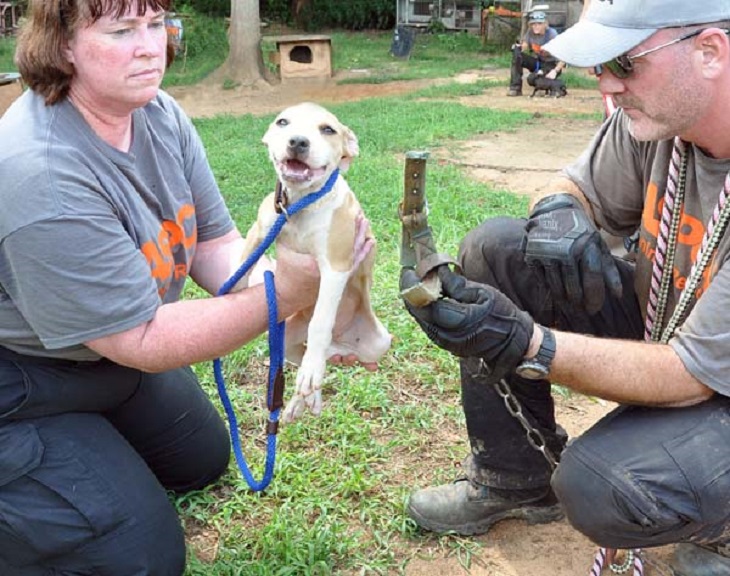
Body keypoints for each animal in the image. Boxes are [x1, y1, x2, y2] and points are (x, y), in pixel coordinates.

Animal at [236, 101, 390, 424]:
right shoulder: (258, 231)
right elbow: (241, 266)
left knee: (318, 353)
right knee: (304, 360)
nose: (297, 141)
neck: (298, 203)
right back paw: (303, 399)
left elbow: (321, 322)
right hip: (285, 339)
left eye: (328, 129)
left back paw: (309, 382)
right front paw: (231, 294)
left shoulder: (336, 267)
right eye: (283, 122)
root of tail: (340, 344)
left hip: (379, 343)